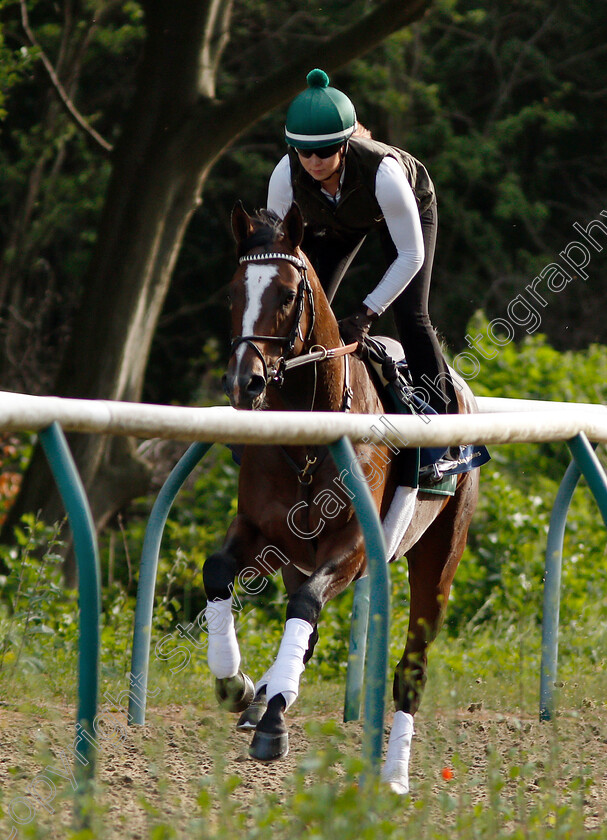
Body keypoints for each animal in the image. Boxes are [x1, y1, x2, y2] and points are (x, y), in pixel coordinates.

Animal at [202, 203, 482, 796]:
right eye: (232, 292)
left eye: (287, 294)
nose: (245, 382)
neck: (310, 438)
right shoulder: (262, 532)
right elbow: (219, 573)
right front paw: (236, 683)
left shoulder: (353, 546)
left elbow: (306, 605)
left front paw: (274, 723)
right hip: (295, 557)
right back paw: (264, 696)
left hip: (439, 557)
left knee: (411, 668)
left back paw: (394, 774)